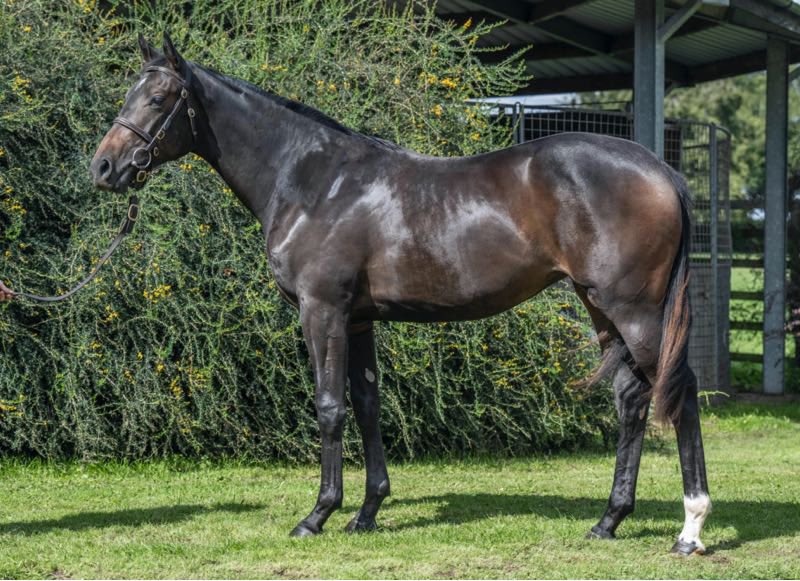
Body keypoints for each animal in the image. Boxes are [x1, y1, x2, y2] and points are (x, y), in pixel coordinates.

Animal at [90, 35, 708, 552]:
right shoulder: (359, 319)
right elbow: (367, 405)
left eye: (159, 98)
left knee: (680, 391)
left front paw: (318, 515)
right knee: (632, 398)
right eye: (130, 93)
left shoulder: (323, 312)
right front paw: (367, 513)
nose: (104, 167)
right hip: (600, 306)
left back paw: (690, 528)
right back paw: (609, 521)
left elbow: (330, 407)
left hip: (637, 311)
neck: (316, 181)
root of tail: (660, 169)